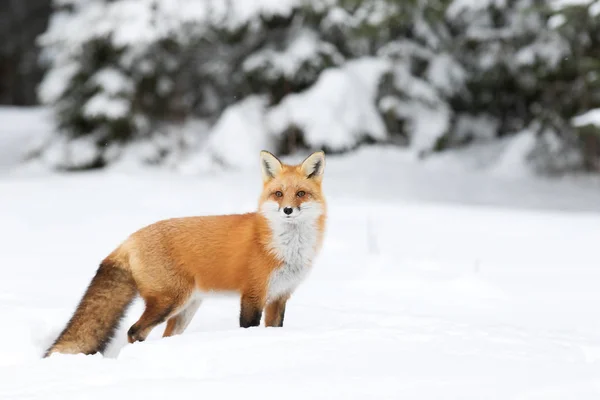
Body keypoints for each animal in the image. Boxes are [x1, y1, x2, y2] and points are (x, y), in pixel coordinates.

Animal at [44, 150, 326, 356]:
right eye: (278, 194)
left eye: (301, 193)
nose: (288, 210)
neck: (285, 248)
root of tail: (130, 238)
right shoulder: (253, 294)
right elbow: (249, 327)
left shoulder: (280, 296)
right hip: (169, 301)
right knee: (134, 331)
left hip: (186, 308)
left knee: (164, 335)